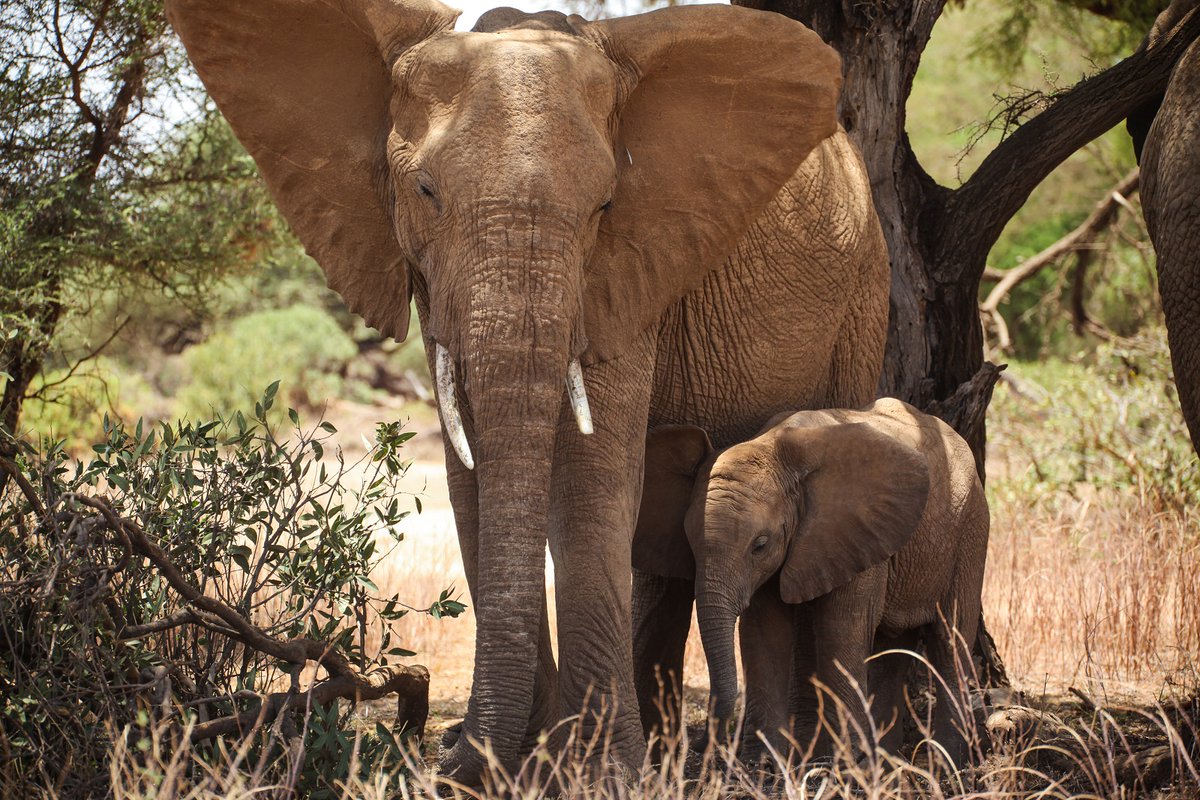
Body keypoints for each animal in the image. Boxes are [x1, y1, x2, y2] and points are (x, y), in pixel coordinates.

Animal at [166, 0, 890, 779]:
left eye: (605, 204)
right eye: (425, 192)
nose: (448, 749)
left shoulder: (625, 267)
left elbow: (593, 478)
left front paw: (597, 774)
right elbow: (472, 475)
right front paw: (522, 763)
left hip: (864, 296)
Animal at [638, 398, 990, 764]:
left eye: (760, 544)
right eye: (689, 543)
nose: (698, 746)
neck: (771, 447)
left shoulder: (854, 531)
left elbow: (839, 629)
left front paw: (847, 765)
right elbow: (763, 632)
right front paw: (764, 764)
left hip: (971, 528)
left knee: (950, 640)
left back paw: (946, 764)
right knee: (891, 651)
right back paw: (887, 763)